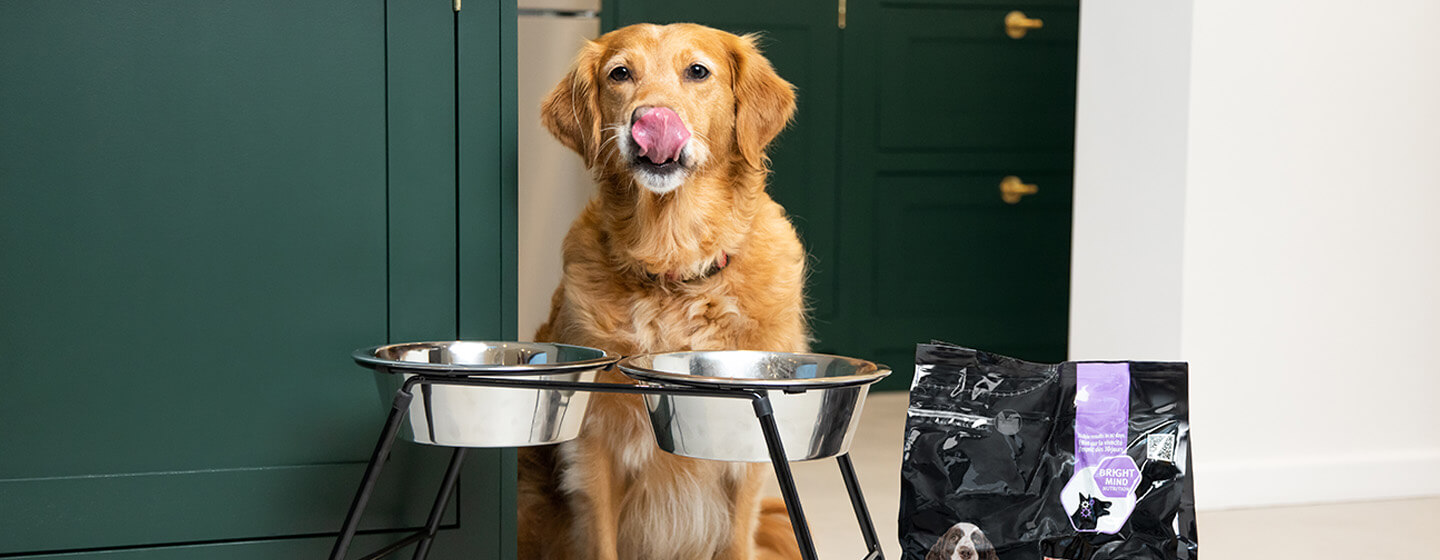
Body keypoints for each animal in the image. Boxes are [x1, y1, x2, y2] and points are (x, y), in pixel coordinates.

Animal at [518, 22, 812, 558]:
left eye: (697, 71)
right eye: (619, 74)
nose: (651, 119)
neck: (675, 270)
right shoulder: (596, 444)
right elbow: (602, 540)